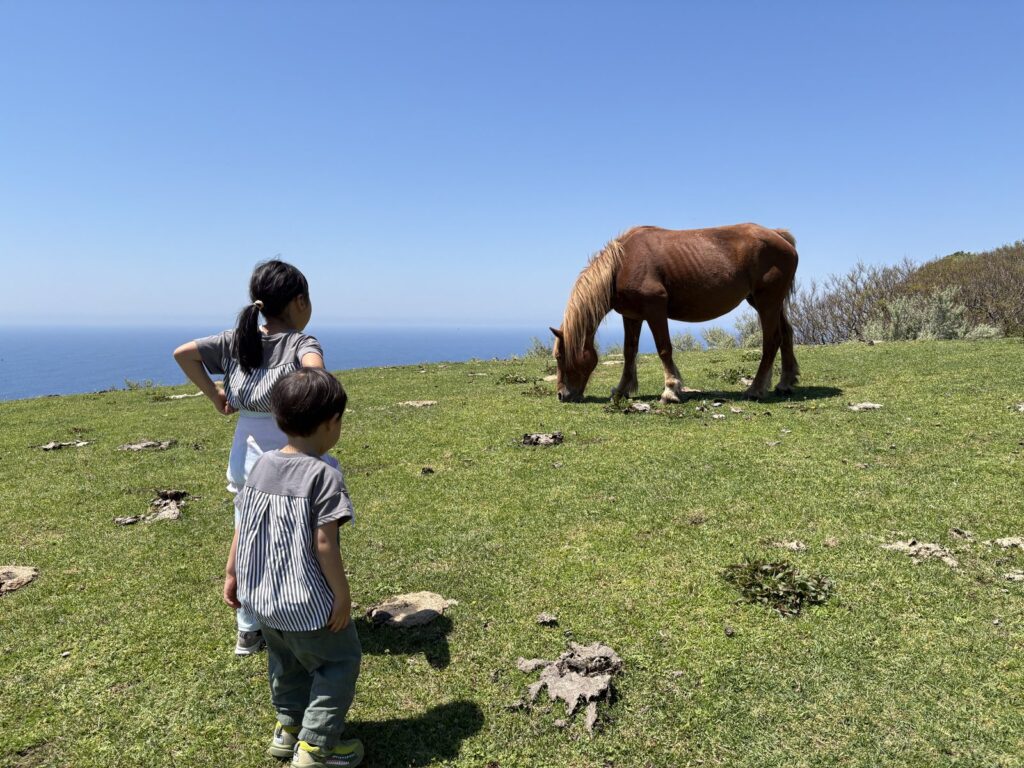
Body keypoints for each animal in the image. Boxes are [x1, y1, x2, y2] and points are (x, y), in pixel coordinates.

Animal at [550, 223, 800, 403]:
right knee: (786, 334)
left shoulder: (655, 310)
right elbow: (629, 352)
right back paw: (785, 382)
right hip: (764, 302)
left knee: (771, 341)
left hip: (767, 302)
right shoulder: (632, 316)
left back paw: (756, 389)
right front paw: (621, 390)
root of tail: (779, 236)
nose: (562, 395)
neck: (621, 264)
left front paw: (670, 390)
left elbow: (664, 349)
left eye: (560, 356)